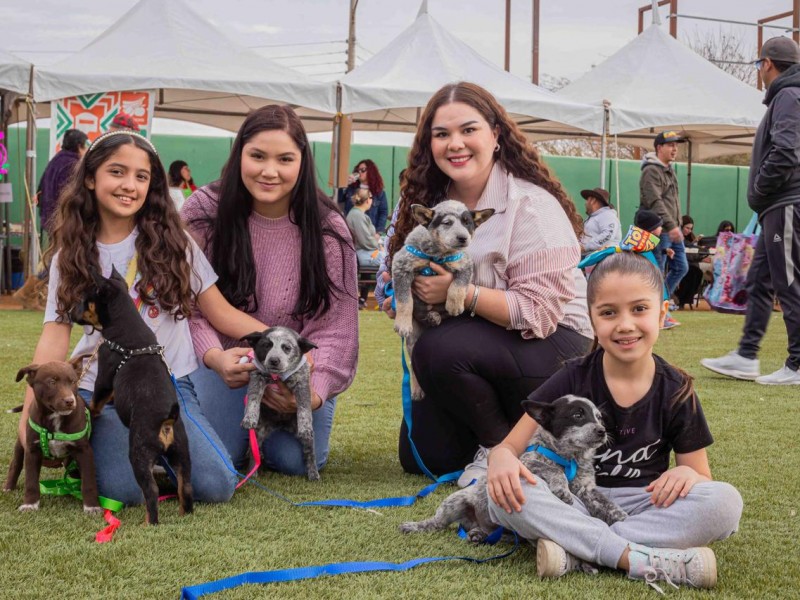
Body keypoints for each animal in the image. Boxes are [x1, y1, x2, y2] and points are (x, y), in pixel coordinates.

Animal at [2, 354, 101, 512]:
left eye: (73, 382)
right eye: (52, 382)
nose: (70, 401)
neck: (55, 418)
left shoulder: (84, 451)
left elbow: (89, 481)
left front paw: (92, 507)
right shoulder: (32, 450)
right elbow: (31, 481)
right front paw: (30, 504)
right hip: (21, 445)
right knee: (15, 464)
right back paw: (8, 487)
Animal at [70, 268, 192, 524]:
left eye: (85, 299)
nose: (68, 312)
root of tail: (167, 421)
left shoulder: (105, 373)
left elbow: (98, 398)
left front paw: (91, 410)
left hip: (139, 455)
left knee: (151, 491)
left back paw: (149, 523)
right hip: (182, 454)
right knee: (185, 486)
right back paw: (184, 515)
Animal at [241, 326, 318, 480]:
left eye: (287, 348)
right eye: (266, 345)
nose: (274, 360)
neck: (277, 376)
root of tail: (280, 424)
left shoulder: (302, 383)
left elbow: (304, 408)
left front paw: (305, 426)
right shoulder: (257, 376)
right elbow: (253, 399)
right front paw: (249, 418)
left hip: (305, 439)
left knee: (310, 453)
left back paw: (313, 473)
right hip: (258, 432)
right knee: (254, 453)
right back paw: (252, 473)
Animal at [392, 200, 494, 398]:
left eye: (467, 223)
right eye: (447, 223)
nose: (463, 238)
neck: (438, 256)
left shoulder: (464, 263)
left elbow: (458, 285)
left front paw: (454, 305)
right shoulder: (401, 265)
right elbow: (404, 300)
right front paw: (402, 323)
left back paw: (434, 317)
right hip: (413, 341)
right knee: (414, 365)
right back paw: (417, 389)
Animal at [396, 394, 628, 552]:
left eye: (599, 418)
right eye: (577, 415)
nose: (602, 431)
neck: (570, 458)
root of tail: (475, 523)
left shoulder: (586, 488)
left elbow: (603, 501)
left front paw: (618, 514)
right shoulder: (526, 464)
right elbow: (552, 469)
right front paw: (562, 488)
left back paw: (478, 535)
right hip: (454, 502)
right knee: (436, 523)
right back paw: (415, 526)